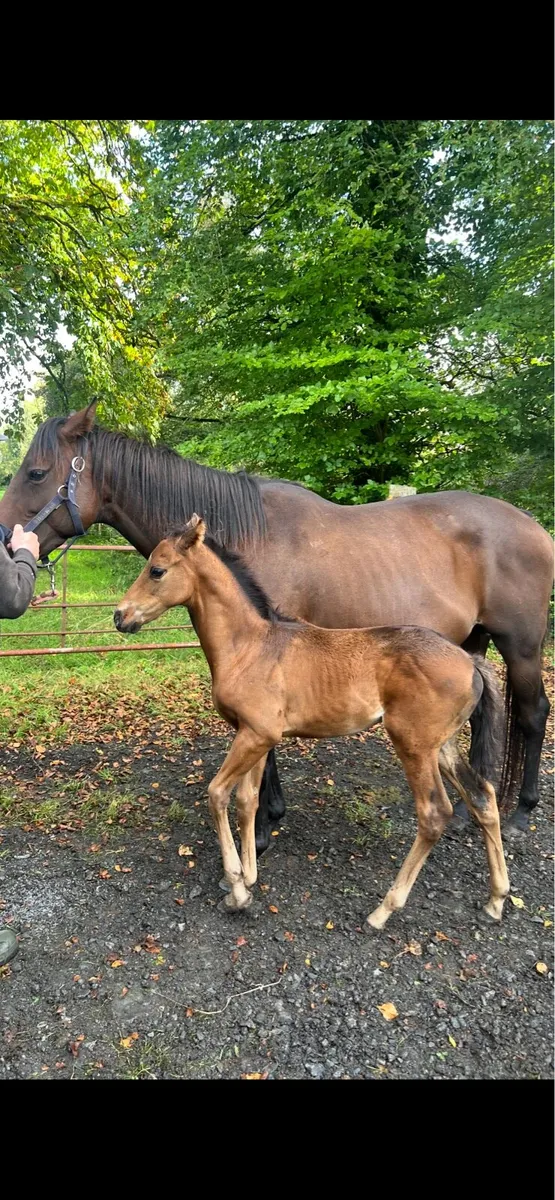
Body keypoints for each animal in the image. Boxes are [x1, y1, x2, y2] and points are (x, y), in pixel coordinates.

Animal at [0, 400, 551, 851]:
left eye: (37, 472)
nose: (8, 541)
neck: (247, 536)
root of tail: (535, 528)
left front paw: (263, 829)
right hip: (471, 645)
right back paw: (466, 812)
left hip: (521, 646)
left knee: (532, 714)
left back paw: (520, 814)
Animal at [113, 515, 511, 928]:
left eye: (157, 570)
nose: (119, 616)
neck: (250, 647)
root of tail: (470, 661)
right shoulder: (255, 736)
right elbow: (247, 801)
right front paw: (250, 876)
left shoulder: (256, 735)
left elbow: (218, 794)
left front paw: (237, 890)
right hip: (443, 745)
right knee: (483, 796)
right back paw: (496, 898)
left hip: (413, 745)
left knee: (434, 814)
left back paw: (383, 910)